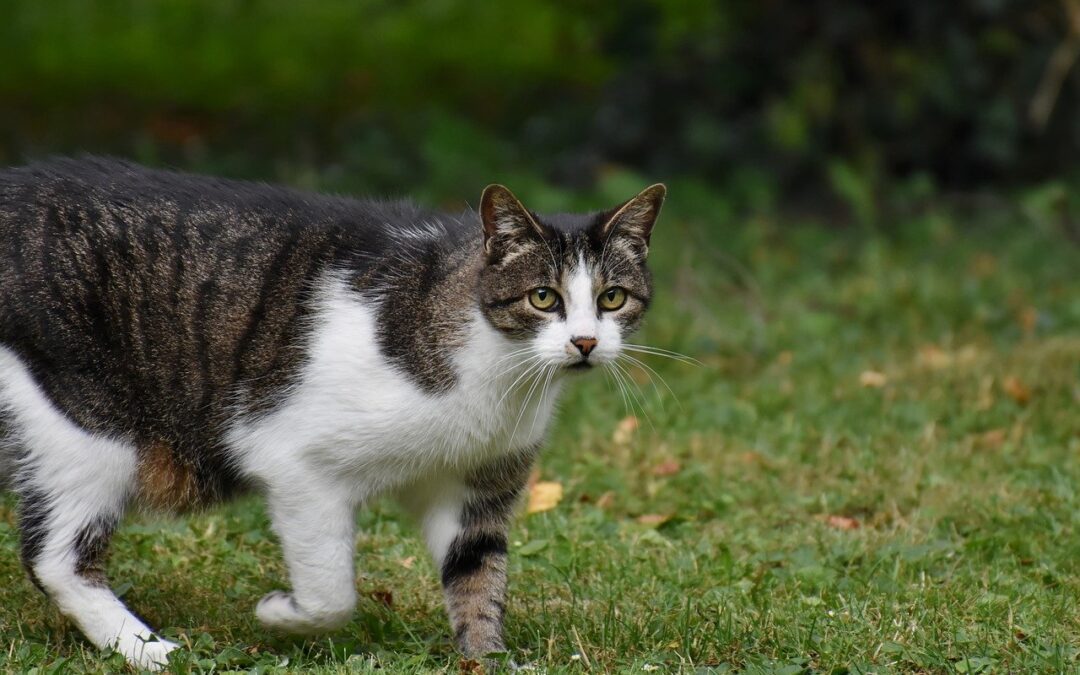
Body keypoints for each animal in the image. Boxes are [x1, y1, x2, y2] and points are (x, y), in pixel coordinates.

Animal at [0, 156, 665, 669]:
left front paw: (487, 659)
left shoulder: (475, 489)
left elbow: (479, 579)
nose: (585, 342)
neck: (496, 374)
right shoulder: (295, 463)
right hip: (89, 426)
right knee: (55, 557)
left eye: (612, 298)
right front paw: (279, 614)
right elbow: (331, 593)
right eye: (543, 297)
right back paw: (148, 651)